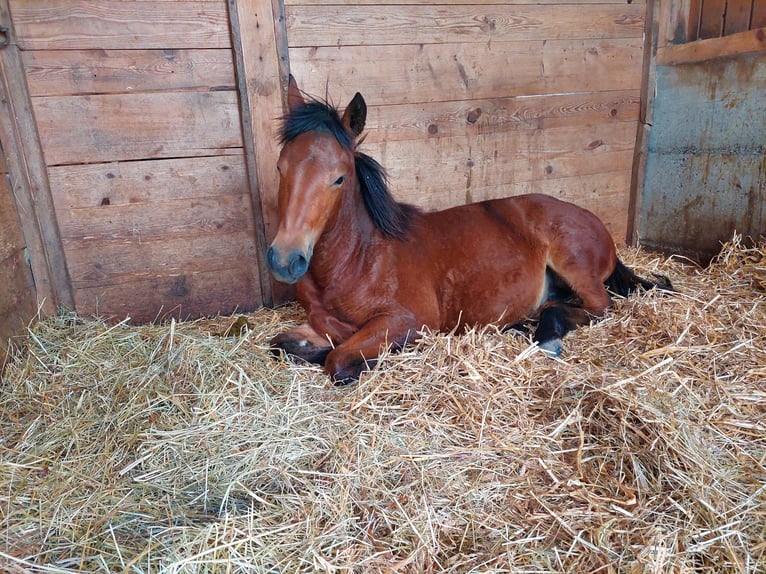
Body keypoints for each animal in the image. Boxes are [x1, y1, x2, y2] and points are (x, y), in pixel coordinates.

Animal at [266, 76, 671, 385]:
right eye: (281, 167)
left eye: (339, 178)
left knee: (601, 307)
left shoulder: (408, 320)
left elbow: (337, 361)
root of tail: (594, 223)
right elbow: (281, 345)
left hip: (574, 266)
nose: (285, 260)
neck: (358, 258)